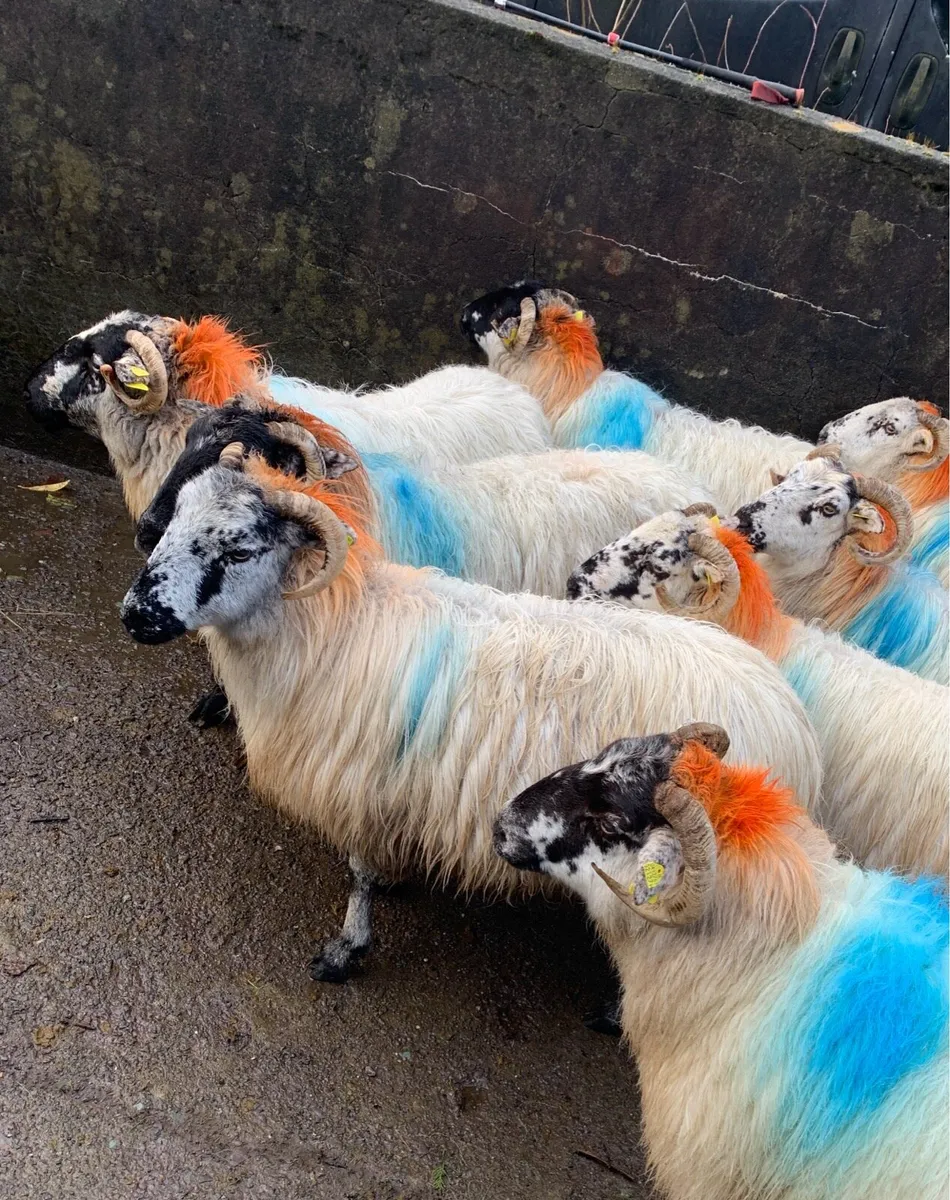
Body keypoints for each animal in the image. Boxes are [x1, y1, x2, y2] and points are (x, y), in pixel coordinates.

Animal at [118, 438, 823, 982]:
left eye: (239, 550)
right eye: (176, 521)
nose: (134, 615)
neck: (328, 631)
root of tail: (789, 711)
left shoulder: (361, 788)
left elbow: (359, 876)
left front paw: (347, 949)